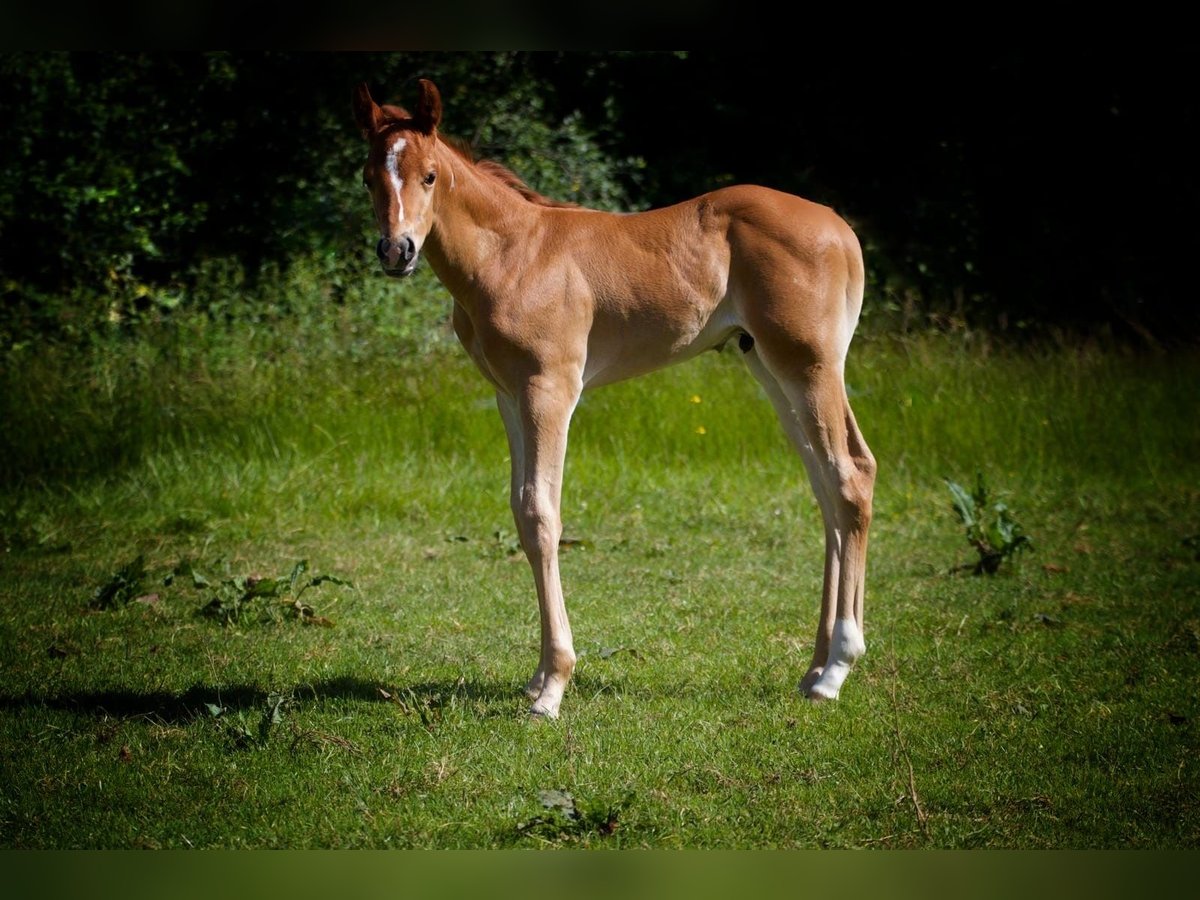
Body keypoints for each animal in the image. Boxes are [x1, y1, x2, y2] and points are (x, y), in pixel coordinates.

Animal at [350, 79, 878, 720]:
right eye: (369, 176)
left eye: (429, 176)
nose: (396, 251)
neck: (511, 254)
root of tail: (839, 227)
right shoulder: (508, 397)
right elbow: (521, 512)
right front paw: (536, 679)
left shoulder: (549, 388)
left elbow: (541, 514)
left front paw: (552, 688)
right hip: (771, 369)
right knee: (828, 485)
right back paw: (814, 668)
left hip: (809, 366)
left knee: (849, 476)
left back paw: (837, 668)